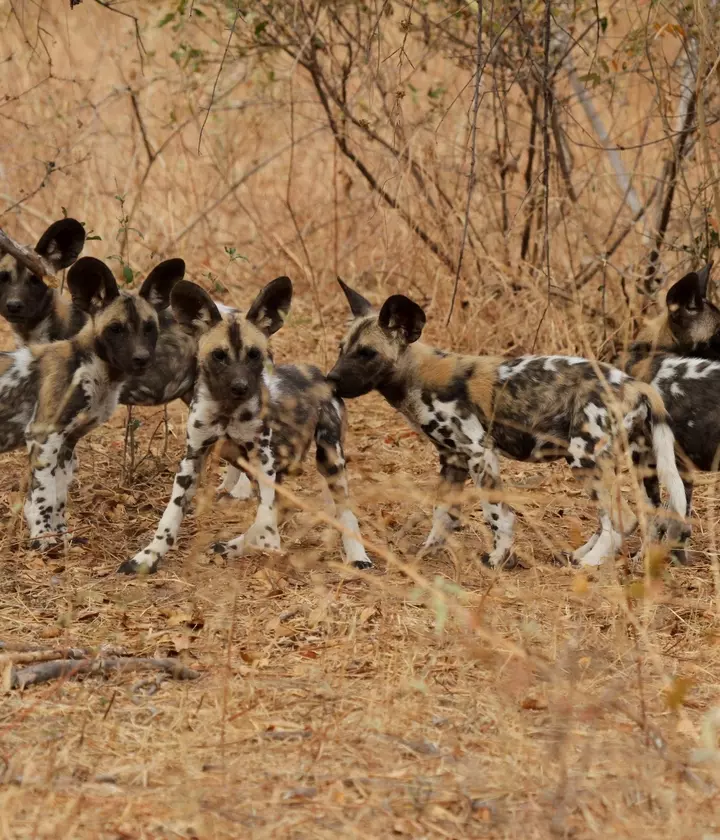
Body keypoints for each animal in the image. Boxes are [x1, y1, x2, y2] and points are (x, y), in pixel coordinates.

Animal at [0, 253, 197, 548]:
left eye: (150, 328)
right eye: (116, 329)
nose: (142, 359)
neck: (93, 368)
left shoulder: (67, 442)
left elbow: (58, 497)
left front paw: (62, 536)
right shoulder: (43, 435)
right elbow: (42, 495)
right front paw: (44, 540)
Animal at [119, 278, 372, 576]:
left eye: (254, 355)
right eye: (219, 356)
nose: (240, 387)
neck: (228, 411)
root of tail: (322, 374)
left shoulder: (263, 458)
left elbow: (265, 515)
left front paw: (268, 543)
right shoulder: (192, 460)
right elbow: (170, 516)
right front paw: (148, 557)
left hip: (329, 459)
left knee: (341, 511)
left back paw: (357, 556)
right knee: (282, 507)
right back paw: (235, 546)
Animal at [326, 282, 688, 572]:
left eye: (367, 353)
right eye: (341, 349)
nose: (330, 380)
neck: (416, 377)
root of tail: (634, 383)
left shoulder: (479, 454)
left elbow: (497, 516)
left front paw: (497, 560)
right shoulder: (452, 461)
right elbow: (442, 516)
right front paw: (427, 553)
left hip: (584, 457)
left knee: (621, 518)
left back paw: (589, 563)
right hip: (634, 464)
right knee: (641, 516)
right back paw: (615, 558)